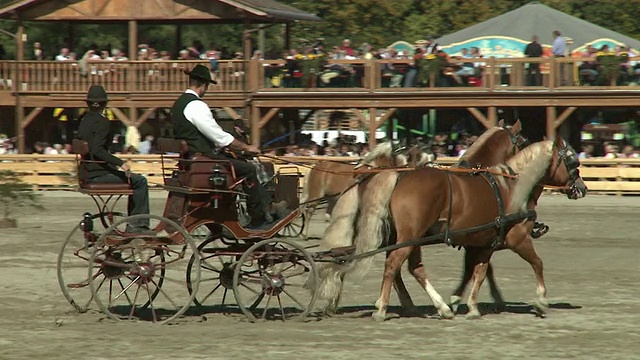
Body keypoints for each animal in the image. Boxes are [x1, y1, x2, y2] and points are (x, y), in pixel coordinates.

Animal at [300, 141, 436, 239]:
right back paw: (304, 234)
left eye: (431, 156)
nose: (432, 168)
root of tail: (316, 165)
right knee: (308, 212)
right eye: (418, 156)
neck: (374, 169)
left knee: (328, 214)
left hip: (331, 197)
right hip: (316, 195)